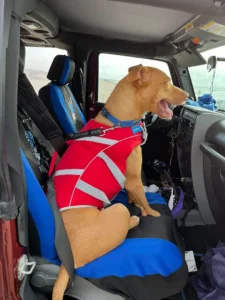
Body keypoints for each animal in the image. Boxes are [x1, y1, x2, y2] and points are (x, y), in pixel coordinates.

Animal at [51, 64, 188, 298]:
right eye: (166, 82)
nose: (188, 96)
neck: (119, 122)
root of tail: (67, 258)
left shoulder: (129, 183)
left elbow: (136, 196)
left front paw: (135, 202)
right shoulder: (133, 179)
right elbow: (145, 201)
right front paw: (151, 213)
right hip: (119, 211)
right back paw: (133, 220)